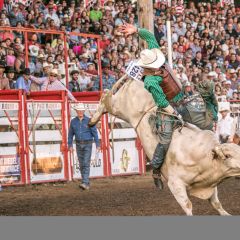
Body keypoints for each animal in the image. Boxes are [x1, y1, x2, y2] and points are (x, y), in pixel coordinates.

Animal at [88, 77, 240, 216]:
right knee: (106, 98)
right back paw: (93, 119)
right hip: (120, 106)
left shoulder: (210, 184)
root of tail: (135, 81)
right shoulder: (175, 184)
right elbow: (188, 206)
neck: (204, 157)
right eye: (228, 155)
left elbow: (216, 204)